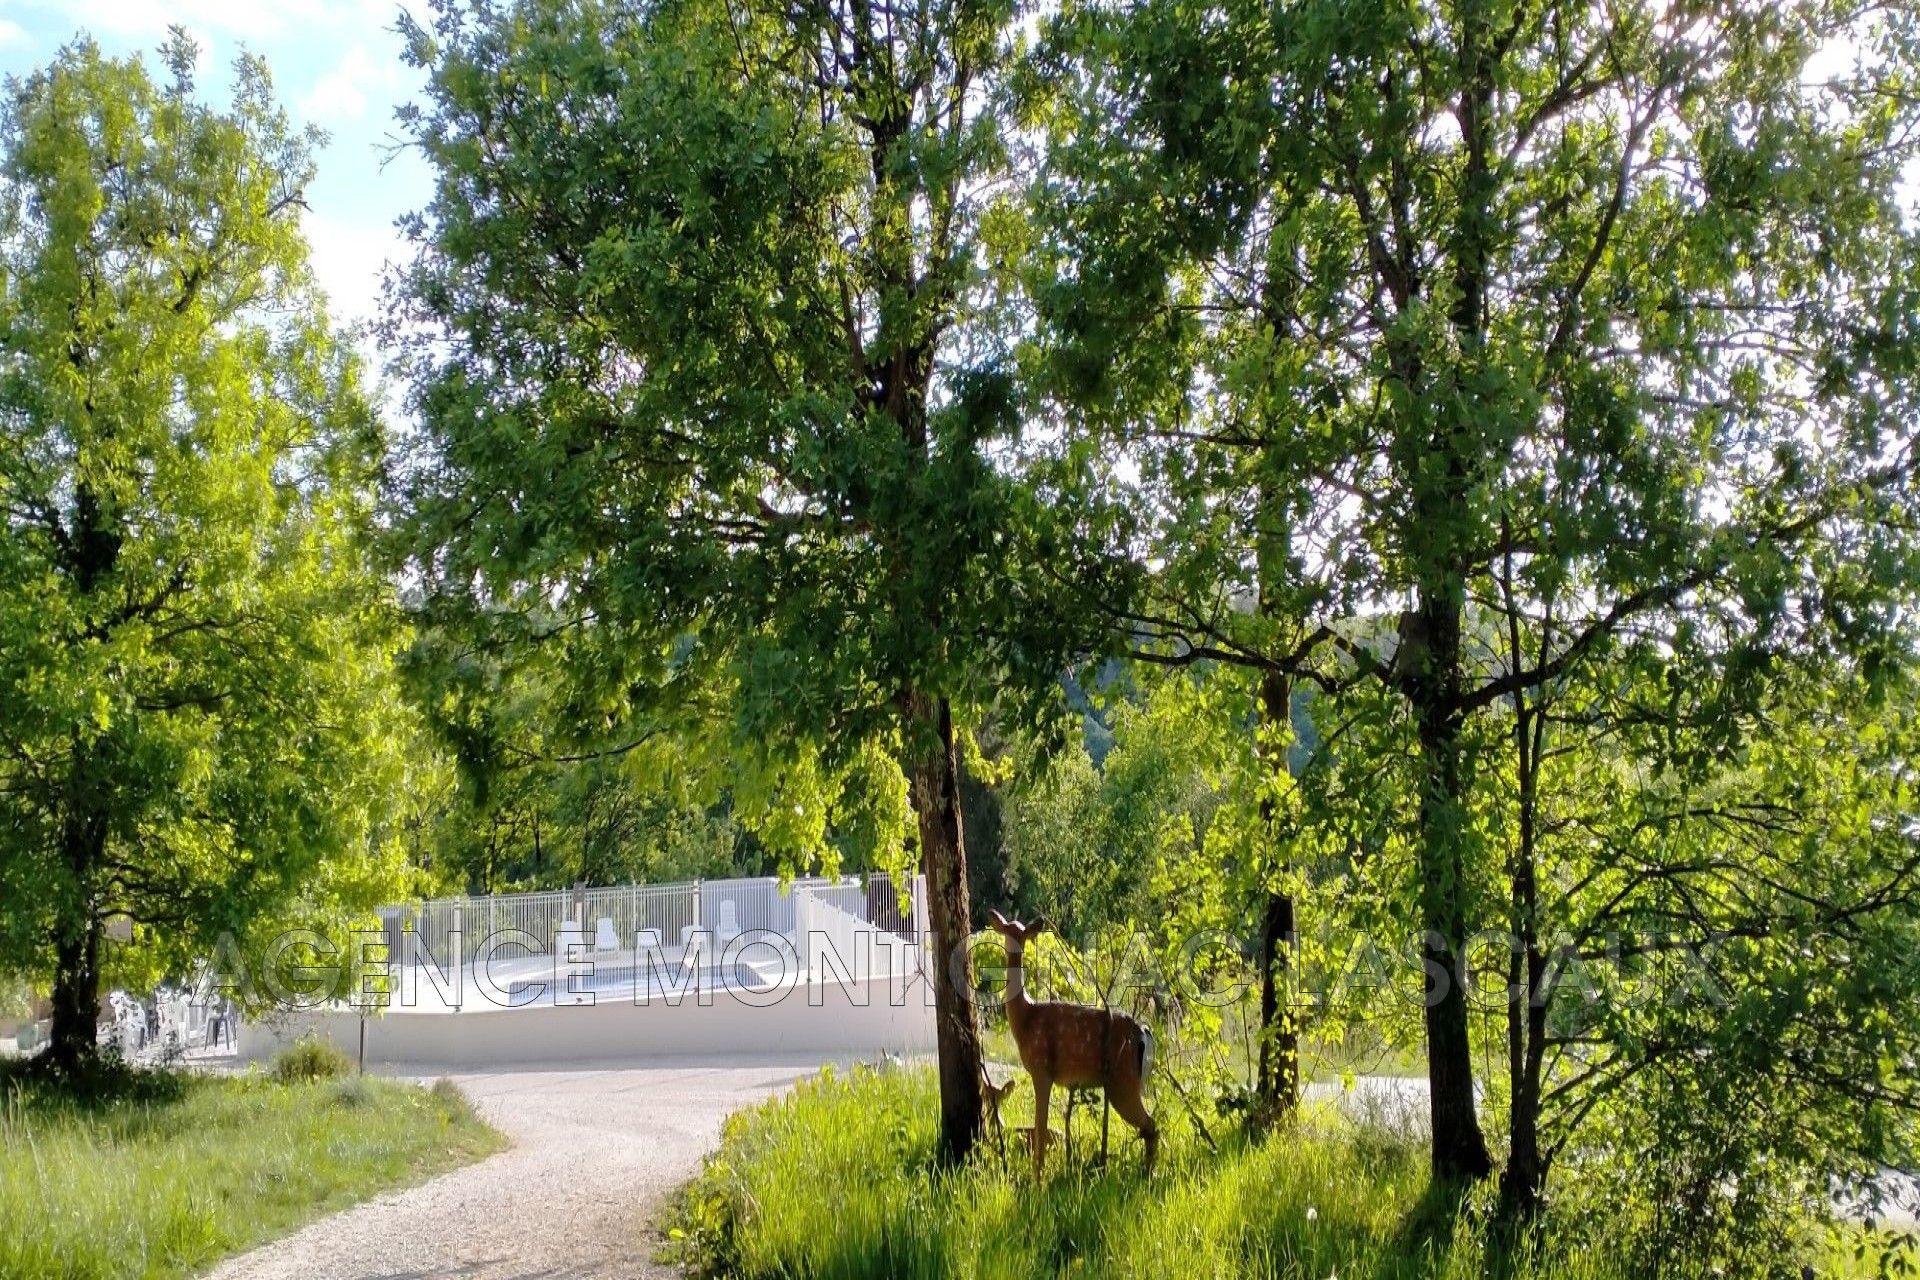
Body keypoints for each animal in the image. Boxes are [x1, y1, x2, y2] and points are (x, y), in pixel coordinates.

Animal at [990, 909, 1152, 1174]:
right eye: (1007, 931)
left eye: (1019, 935)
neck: (1025, 1018)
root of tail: (1144, 1033)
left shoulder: (1041, 1069)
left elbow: (1041, 1125)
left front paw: (1037, 1176)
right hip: (1132, 1082)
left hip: (1122, 1080)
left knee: (1151, 1126)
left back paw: (1148, 1173)